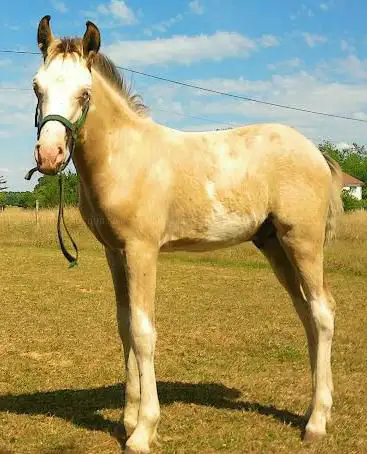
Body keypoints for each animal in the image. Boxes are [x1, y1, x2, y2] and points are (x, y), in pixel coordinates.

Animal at [32, 16, 344, 454]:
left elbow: (143, 331)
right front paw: (128, 419)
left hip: (303, 242)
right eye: (37, 87)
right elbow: (124, 326)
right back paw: (317, 411)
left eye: (85, 92)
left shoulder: (142, 250)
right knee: (307, 315)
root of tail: (316, 152)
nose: (49, 156)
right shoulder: (115, 252)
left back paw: (316, 422)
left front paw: (143, 430)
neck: (125, 157)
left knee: (322, 312)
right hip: (275, 246)